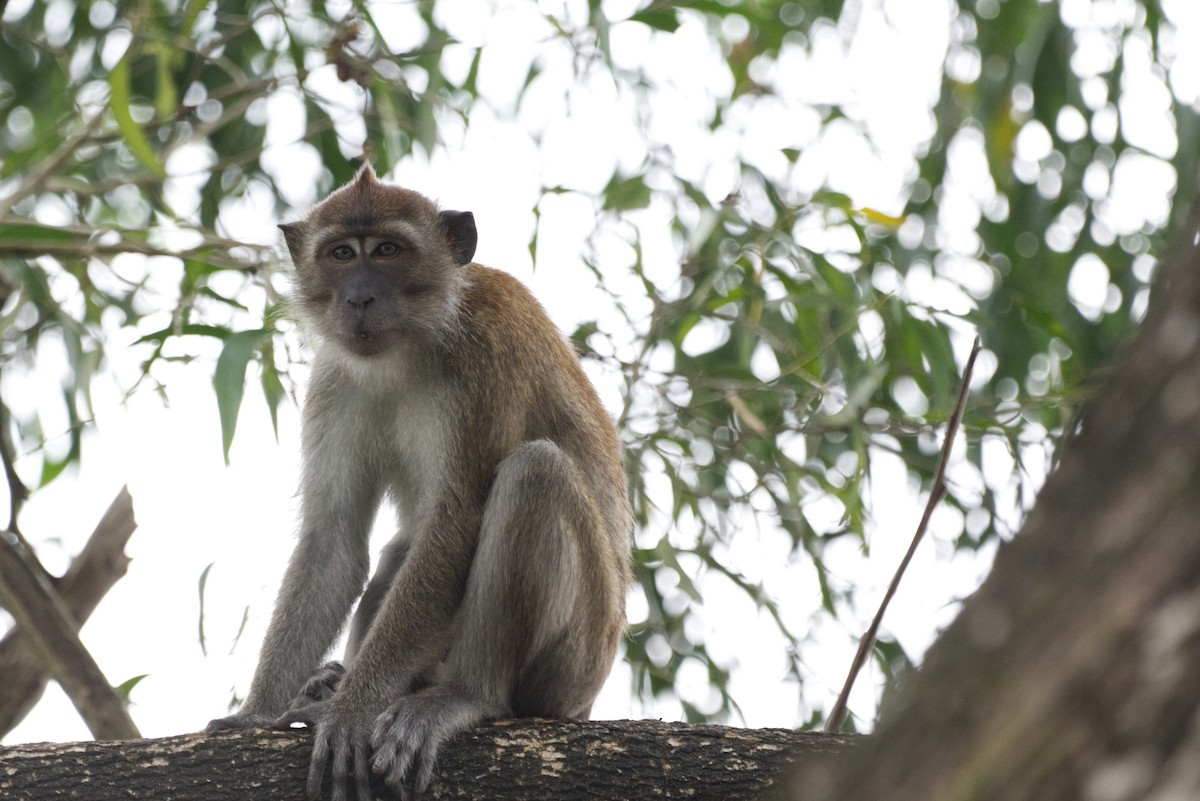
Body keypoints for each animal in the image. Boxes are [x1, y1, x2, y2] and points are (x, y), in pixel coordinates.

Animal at [206, 165, 631, 801]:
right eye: (340, 254)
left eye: (387, 250)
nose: (358, 296)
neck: (410, 344)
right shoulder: (334, 378)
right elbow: (334, 542)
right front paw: (257, 713)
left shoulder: (487, 351)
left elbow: (453, 527)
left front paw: (351, 713)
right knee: (398, 550)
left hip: (573, 662)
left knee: (534, 474)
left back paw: (461, 696)